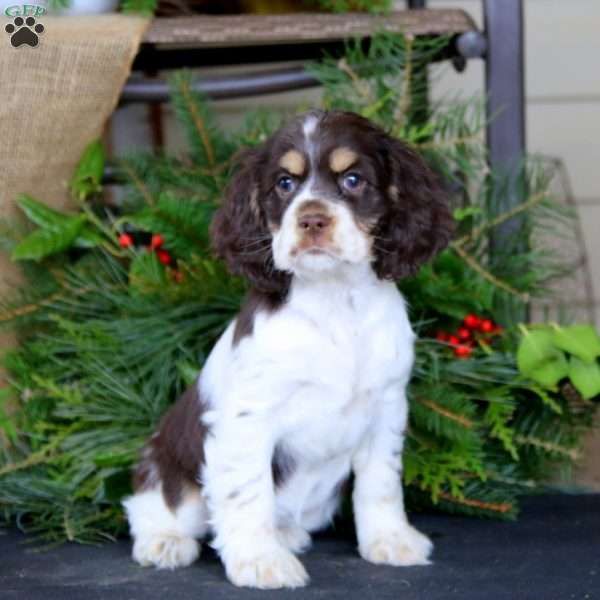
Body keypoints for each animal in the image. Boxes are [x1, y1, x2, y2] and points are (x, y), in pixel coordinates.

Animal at [123, 109, 454, 592]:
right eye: (284, 184)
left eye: (353, 179)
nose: (312, 220)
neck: (334, 301)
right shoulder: (247, 417)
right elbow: (248, 492)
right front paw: (262, 561)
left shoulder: (387, 407)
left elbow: (380, 483)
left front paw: (391, 541)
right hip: (169, 468)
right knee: (153, 503)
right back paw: (165, 542)